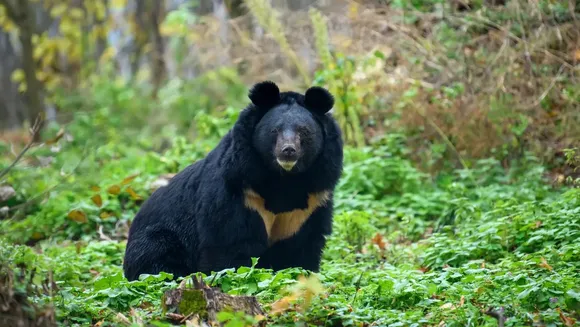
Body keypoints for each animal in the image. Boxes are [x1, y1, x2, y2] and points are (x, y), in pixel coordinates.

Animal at [121, 81, 340, 282]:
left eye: (304, 131)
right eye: (275, 130)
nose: (288, 151)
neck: (285, 178)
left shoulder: (310, 204)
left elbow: (301, 247)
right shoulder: (239, 191)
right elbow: (231, 243)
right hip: (159, 238)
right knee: (157, 261)